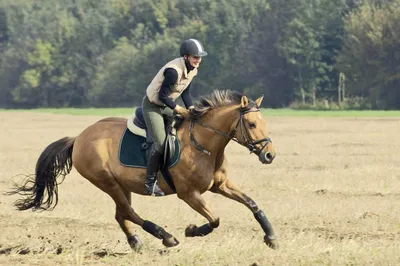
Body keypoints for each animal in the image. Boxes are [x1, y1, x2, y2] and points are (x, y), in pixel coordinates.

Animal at [7, 89, 278, 249]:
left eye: (263, 122)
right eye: (251, 124)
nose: (269, 154)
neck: (204, 143)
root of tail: (79, 138)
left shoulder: (220, 185)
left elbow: (252, 204)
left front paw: (271, 237)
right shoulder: (189, 194)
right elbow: (215, 219)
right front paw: (191, 231)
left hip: (120, 185)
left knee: (121, 214)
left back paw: (136, 241)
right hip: (107, 182)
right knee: (128, 212)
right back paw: (165, 236)